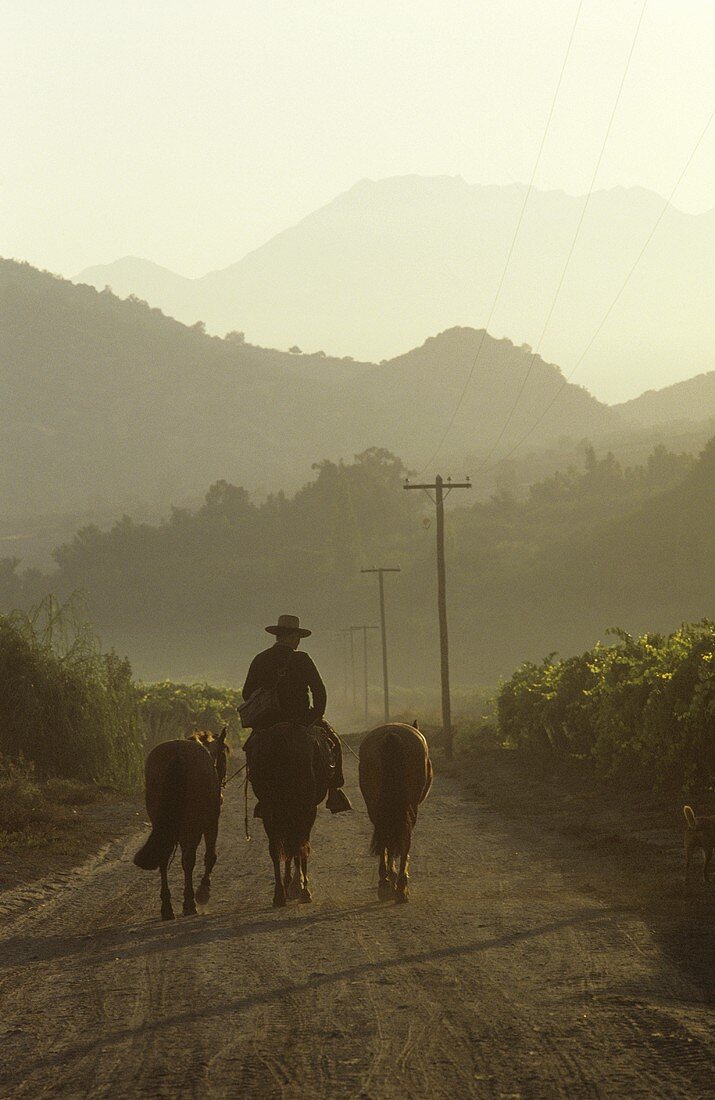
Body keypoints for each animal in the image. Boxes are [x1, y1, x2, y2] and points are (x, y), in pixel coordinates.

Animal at [134, 730, 228, 919]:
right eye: (224, 755)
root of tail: (177, 754)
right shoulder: (211, 823)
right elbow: (210, 856)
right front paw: (203, 892)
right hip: (190, 826)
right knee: (188, 859)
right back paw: (190, 903)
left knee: (163, 857)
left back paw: (167, 908)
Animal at [247, 717, 327, 906]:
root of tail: (280, 739)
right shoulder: (307, 810)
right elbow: (300, 844)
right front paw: (298, 883)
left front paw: (290, 882)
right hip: (301, 808)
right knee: (299, 844)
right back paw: (302, 891)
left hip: (270, 809)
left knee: (276, 848)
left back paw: (279, 895)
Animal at [358, 721, 431, 902]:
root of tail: (391, 734)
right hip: (408, 808)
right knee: (404, 840)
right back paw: (399, 885)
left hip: (378, 807)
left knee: (386, 836)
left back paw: (389, 883)